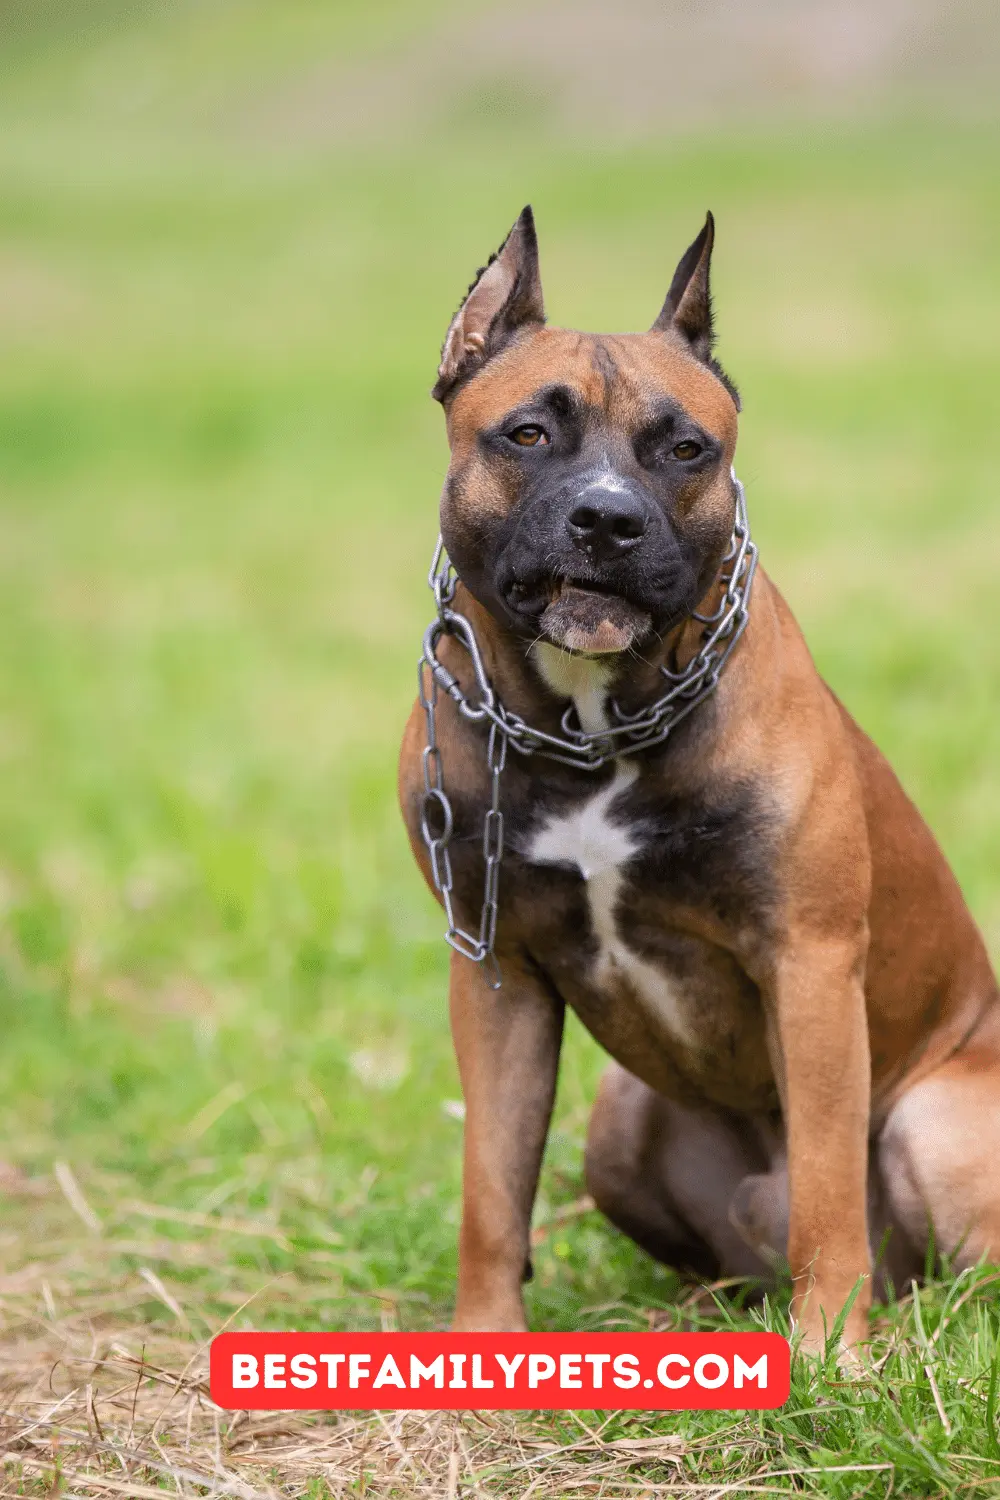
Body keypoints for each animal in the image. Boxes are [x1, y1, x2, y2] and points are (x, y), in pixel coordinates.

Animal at [398, 208, 1000, 1362]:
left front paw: (830, 1358)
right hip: (619, 1120)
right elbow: (490, 1190)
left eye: (686, 450)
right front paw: (488, 1344)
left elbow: (825, 1189)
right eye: (526, 435)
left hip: (934, 1123)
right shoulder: (494, 974)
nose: (606, 520)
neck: (592, 726)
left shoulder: (809, 964)